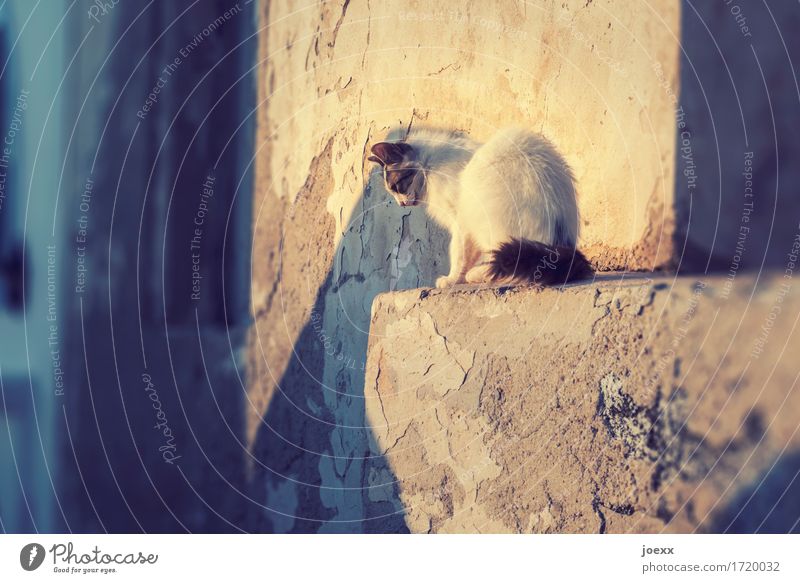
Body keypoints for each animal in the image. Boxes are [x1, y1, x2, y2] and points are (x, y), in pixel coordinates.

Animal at [368, 129, 592, 290]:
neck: (430, 165)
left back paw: (478, 275)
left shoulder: (460, 222)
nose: (401, 204)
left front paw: (452, 279)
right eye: (392, 192)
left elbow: (458, 254)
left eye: (396, 187)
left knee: (516, 270)